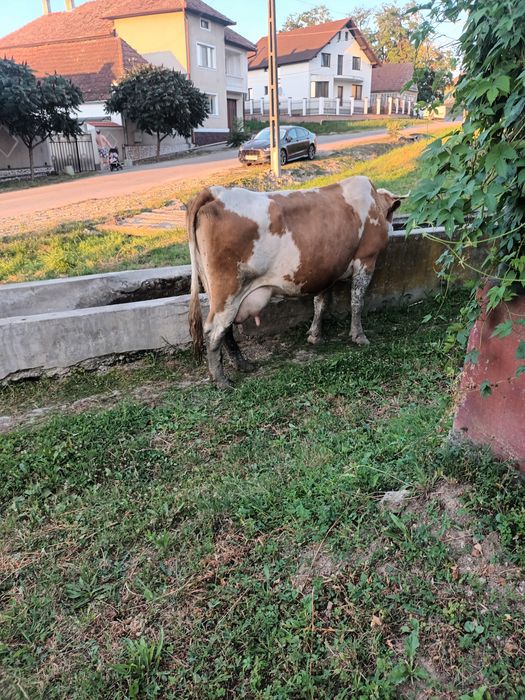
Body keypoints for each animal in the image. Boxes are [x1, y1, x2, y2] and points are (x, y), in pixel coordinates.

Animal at [187, 175, 404, 388]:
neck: (374, 203)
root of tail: (216, 193)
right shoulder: (366, 260)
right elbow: (357, 302)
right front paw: (359, 336)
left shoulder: (327, 269)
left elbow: (320, 303)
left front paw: (315, 335)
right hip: (228, 291)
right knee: (214, 331)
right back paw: (221, 380)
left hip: (217, 292)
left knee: (226, 331)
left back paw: (242, 364)